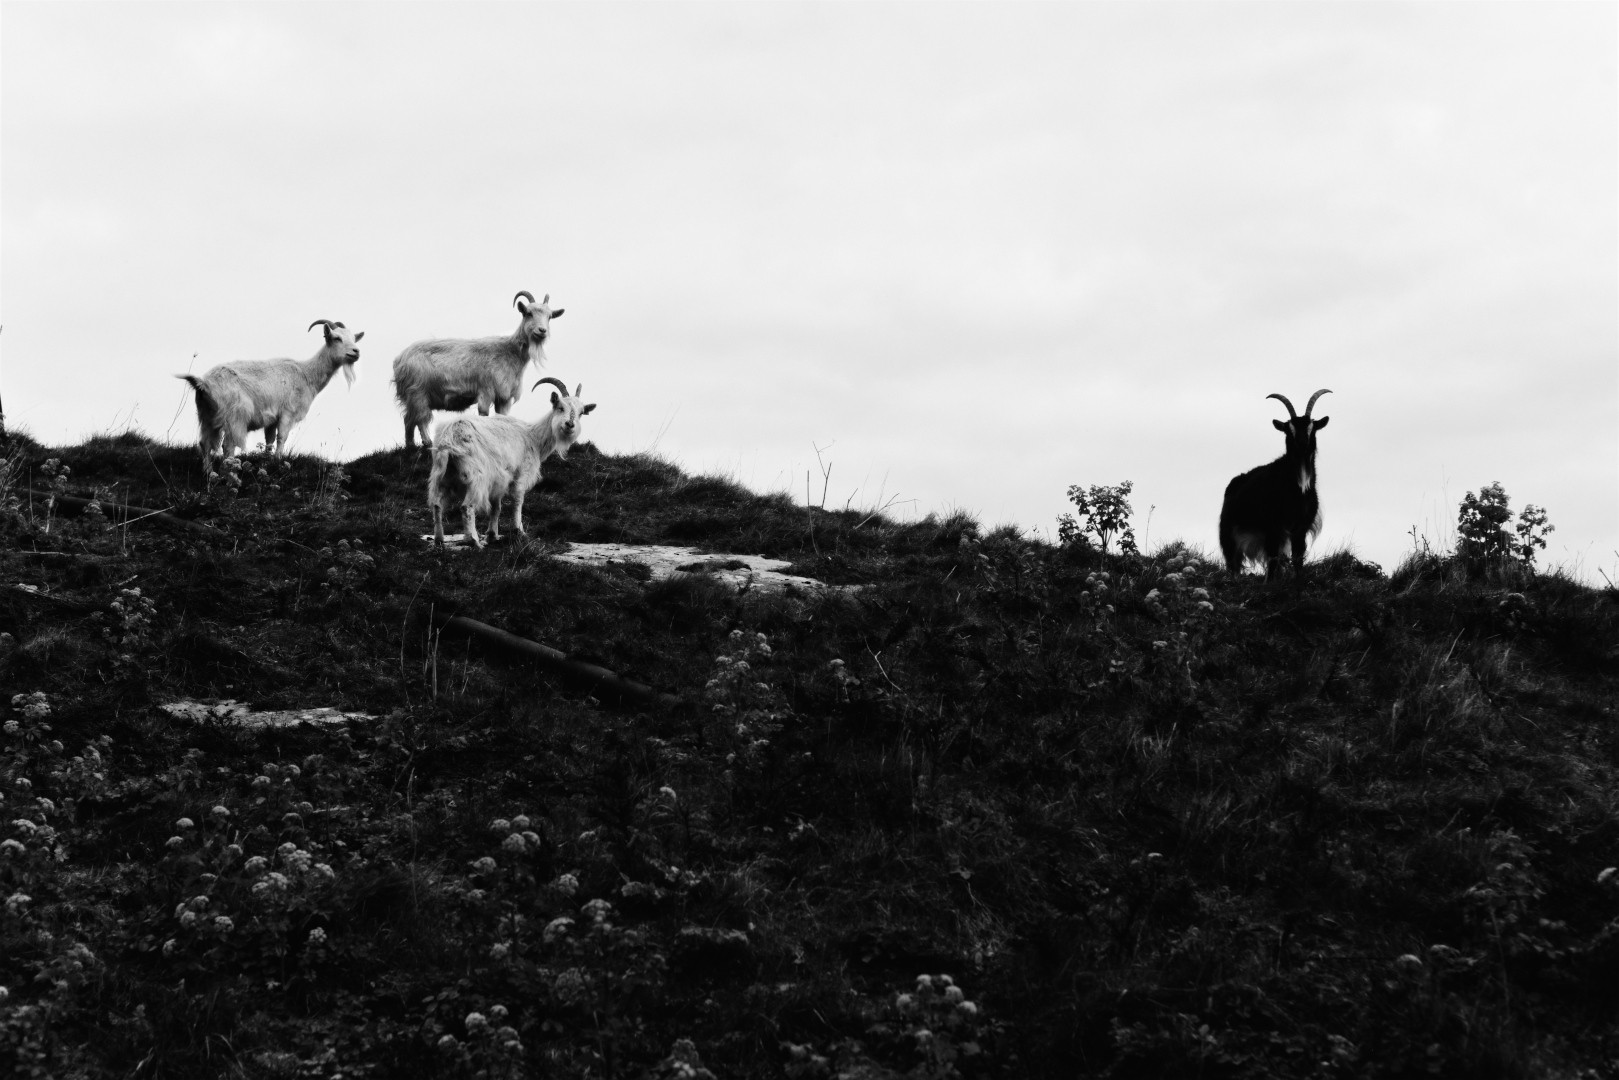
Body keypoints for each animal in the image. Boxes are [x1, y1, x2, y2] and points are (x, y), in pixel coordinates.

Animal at [176, 320, 362, 467]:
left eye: (354, 339)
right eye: (336, 338)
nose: (356, 351)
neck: (306, 374)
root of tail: (204, 383)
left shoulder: (271, 418)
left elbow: (269, 440)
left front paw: (267, 460)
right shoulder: (287, 412)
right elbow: (282, 438)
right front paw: (278, 460)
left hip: (206, 415)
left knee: (204, 443)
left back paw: (209, 473)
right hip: (234, 416)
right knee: (228, 445)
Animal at [392, 291, 564, 451]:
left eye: (549, 316)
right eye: (528, 313)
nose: (542, 330)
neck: (509, 352)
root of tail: (399, 359)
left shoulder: (504, 396)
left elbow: (502, 417)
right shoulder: (486, 390)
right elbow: (484, 414)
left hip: (413, 397)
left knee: (408, 419)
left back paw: (410, 446)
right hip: (418, 392)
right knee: (420, 418)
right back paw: (427, 443)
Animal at [428, 377, 596, 548]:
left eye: (581, 413)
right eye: (560, 407)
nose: (570, 425)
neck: (533, 437)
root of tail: (449, 439)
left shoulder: (500, 479)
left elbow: (496, 507)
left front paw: (492, 535)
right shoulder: (521, 473)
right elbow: (518, 500)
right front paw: (519, 531)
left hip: (441, 475)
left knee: (437, 505)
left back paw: (439, 540)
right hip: (476, 477)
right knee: (466, 507)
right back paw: (473, 541)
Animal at [1218, 389, 1332, 580]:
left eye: (1312, 427)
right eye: (1288, 429)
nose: (1302, 445)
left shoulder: (1300, 526)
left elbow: (1298, 556)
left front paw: (1298, 579)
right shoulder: (1272, 524)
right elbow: (1272, 557)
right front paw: (1270, 582)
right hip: (1229, 530)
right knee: (1232, 560)